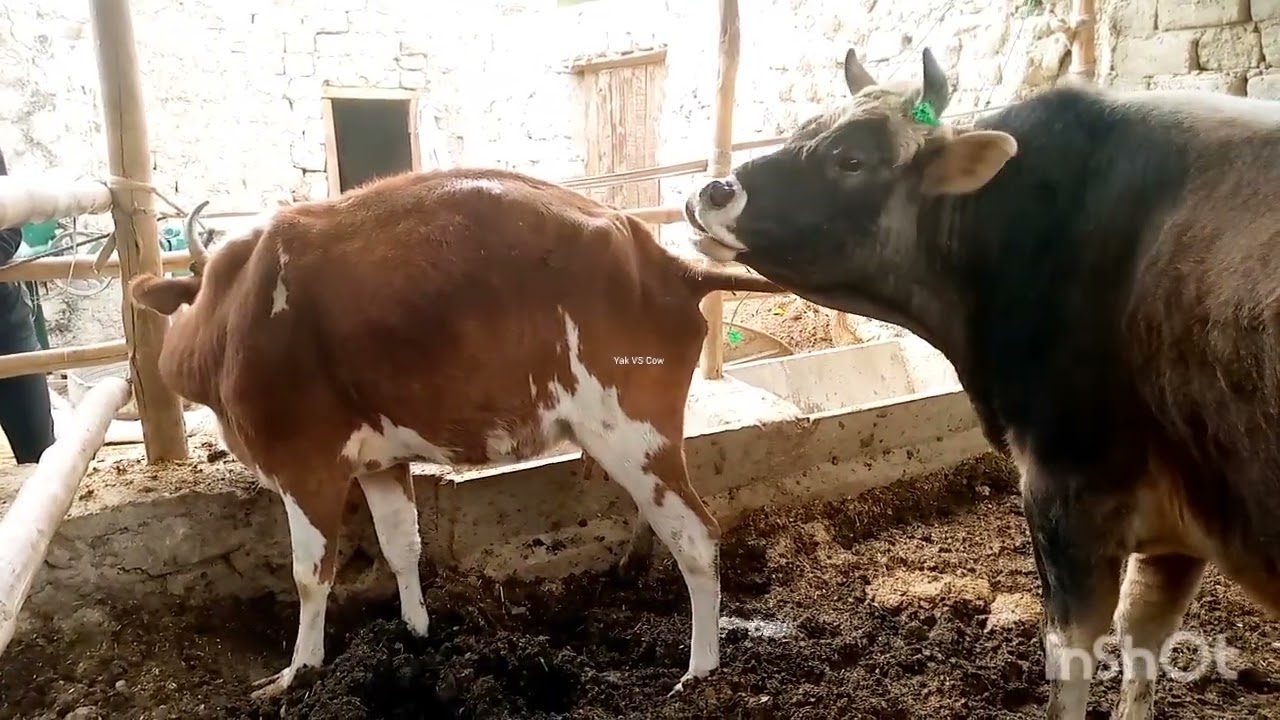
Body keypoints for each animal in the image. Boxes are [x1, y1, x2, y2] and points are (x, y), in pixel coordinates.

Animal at [127, 167, 783, 699]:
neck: (232, 311)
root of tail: (665, 260)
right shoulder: (379, 463)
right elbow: (402, 546)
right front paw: (415, 633)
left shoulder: (305, 465)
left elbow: (310, 576)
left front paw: (299, 673)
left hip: (629, 432)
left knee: (697, 536)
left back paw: (699, 672)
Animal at [683, 46, 1280, 719]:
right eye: (806, 125)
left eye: (851, 159)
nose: (713, 191)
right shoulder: (1178, 520)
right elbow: (1144, 636)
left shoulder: (1068, 490)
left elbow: (1073, 653)